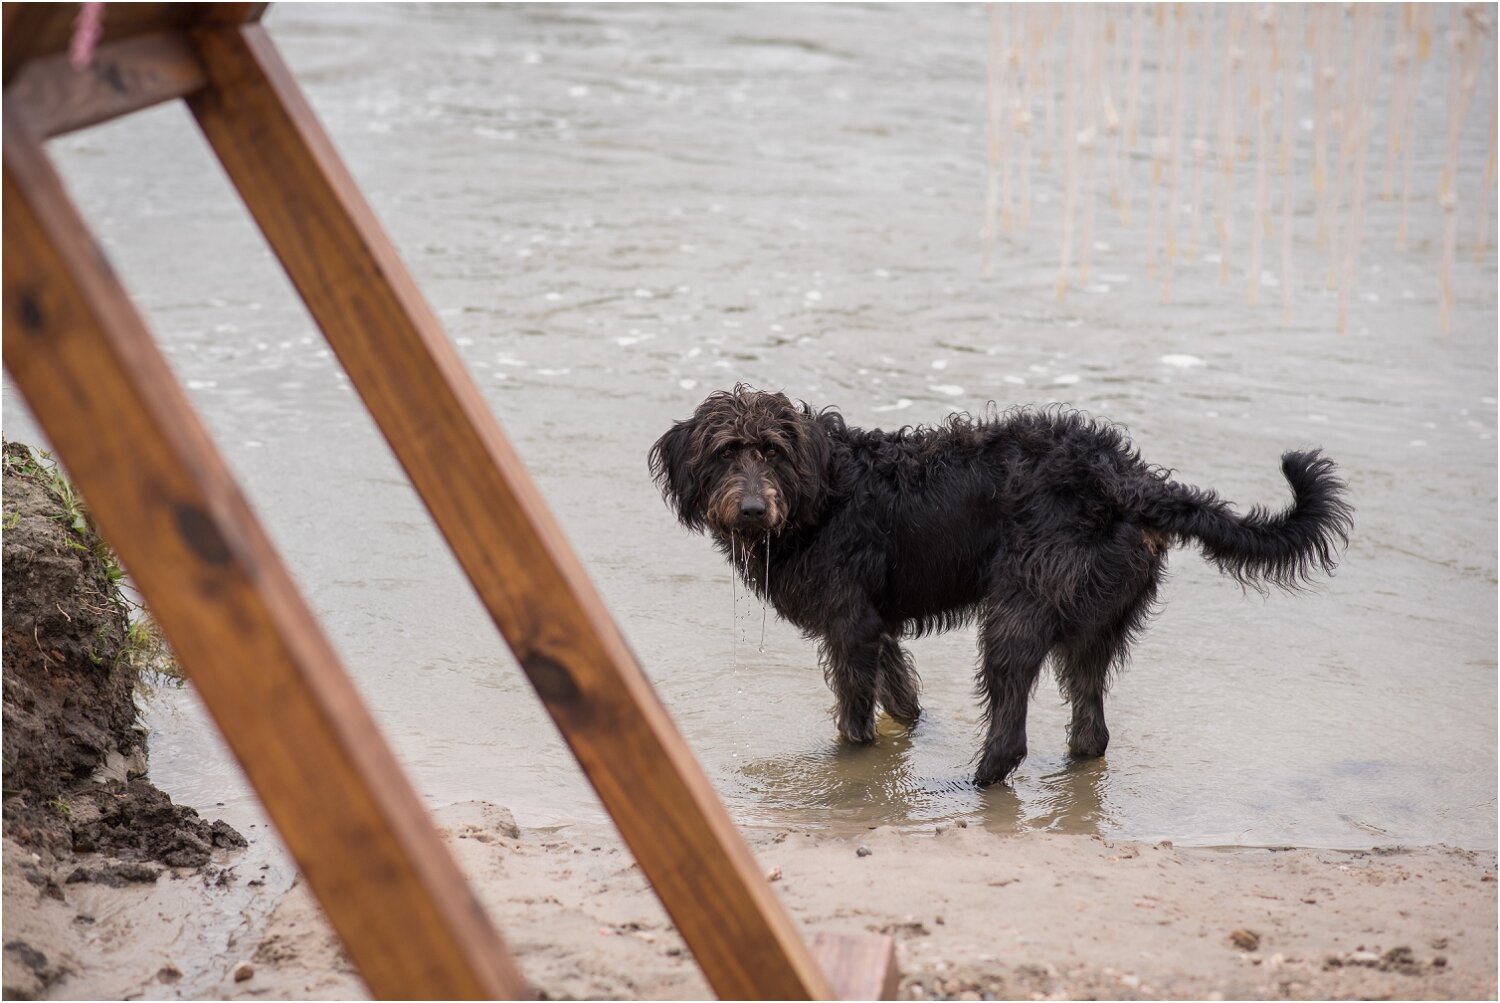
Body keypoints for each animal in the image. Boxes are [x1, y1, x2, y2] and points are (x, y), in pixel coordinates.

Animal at [651, 383, 1356, 779]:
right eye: (726, 451)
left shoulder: (851, 624)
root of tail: (1129, 479)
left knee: (1012, 722)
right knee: (1091, 727)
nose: (751, 509)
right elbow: (901, 694)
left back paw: (978, 780)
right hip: (1098, 619)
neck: (819, 493)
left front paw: (850, 763)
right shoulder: (876, 623)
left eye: (772, 451)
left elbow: (855, 714)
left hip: (1018, 609)